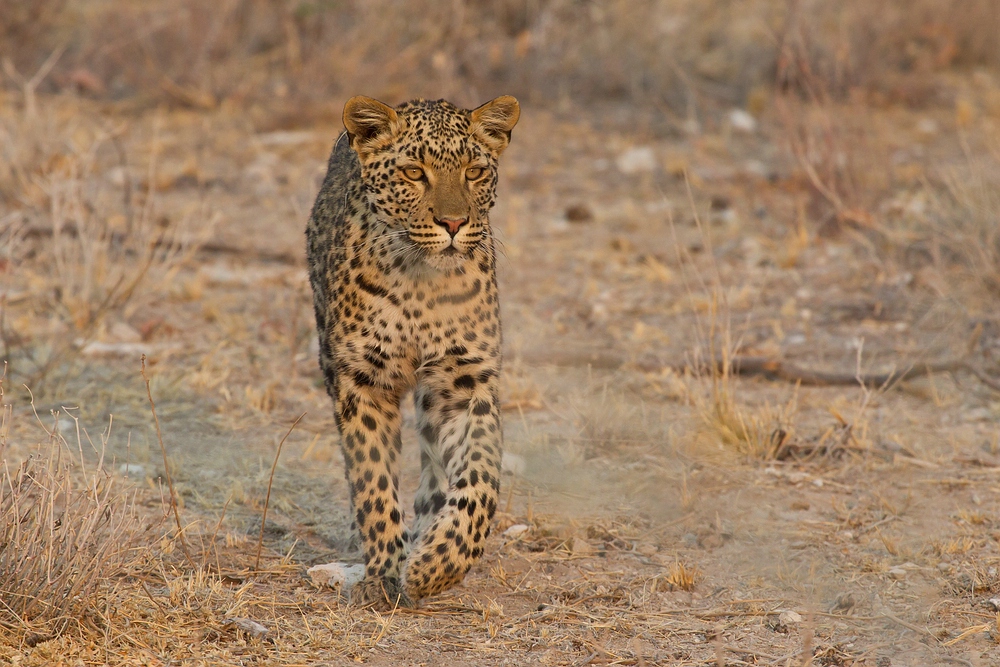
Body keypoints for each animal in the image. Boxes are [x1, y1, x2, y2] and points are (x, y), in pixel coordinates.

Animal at [302, 96, 524, 608]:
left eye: (474, 172)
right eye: (413, 172)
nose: (453, 223)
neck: (421, 279)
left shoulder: (464, 381)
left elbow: (480, 482)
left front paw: (435, 566)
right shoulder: (361, 380)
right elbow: (373, 480)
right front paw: (383, 570)